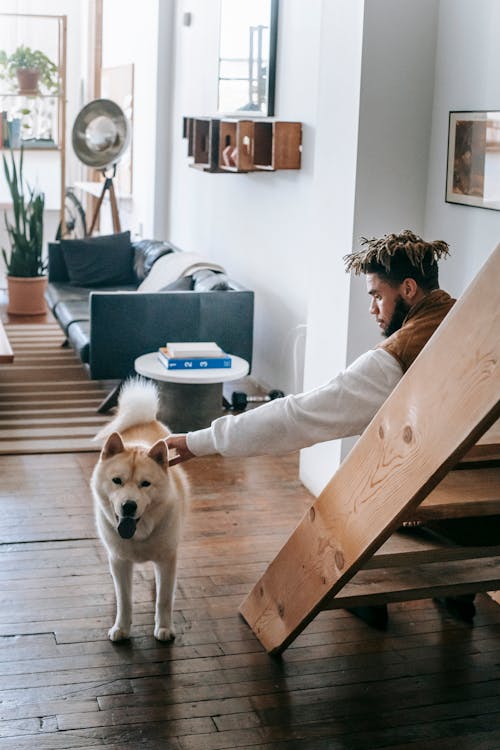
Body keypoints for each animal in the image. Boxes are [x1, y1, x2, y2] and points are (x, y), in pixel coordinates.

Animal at [92, 378, 189, 644]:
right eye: (117, 481)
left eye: (145, 484)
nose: (129, 505)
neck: (138, 534)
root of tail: (144, 418)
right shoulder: (120, 561)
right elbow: (124, 600)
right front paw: (122, 628)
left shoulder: (167, 558)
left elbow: (164, 599)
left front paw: (164, 627)